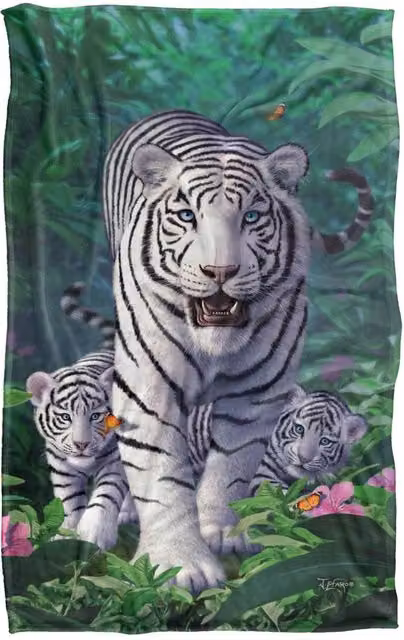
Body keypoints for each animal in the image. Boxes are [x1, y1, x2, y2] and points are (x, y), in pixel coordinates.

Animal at [25, 284, 129, 550]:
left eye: (96, 416)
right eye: (65, 417)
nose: (81, 444)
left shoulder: (116, 461)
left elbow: (107, 491)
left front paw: (95, 533)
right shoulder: (61, 467)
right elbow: (69, 502)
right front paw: (65, 536)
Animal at [102, 109, 374, 591]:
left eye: (250, 216)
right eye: (186, 216)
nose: (220, 271)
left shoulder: (257, 394)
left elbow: (231, 468)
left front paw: (224, 533)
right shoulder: (148, 390)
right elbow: (160, 476)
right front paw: (180, 565)